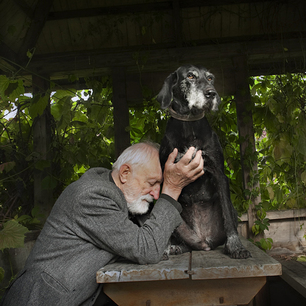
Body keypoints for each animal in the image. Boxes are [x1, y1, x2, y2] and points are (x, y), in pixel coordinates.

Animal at [158, 64, 251, 258]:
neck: (190, 125)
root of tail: (203, 241)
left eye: (210, 78)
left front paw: (236, 246)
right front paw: (165, 248)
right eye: (190, 76)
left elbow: (228, 216)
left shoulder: (219, 173)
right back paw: (176, 247)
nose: (212, 93)